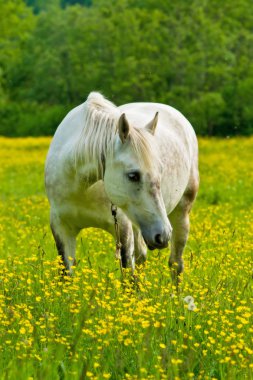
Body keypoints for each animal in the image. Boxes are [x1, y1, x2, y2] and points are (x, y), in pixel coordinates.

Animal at [45, 93, 200, 280]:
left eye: (161, 171)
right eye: (133, 176)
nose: (163, 235)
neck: (81, 186)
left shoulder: (123, 230)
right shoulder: (61, 229)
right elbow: (66, 275)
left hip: (181, 213)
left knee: (175, 264)